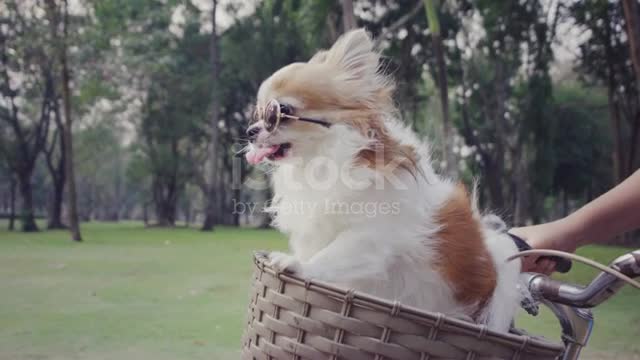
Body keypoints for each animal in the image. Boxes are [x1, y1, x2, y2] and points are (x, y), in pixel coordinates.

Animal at [244, 28, 520, 332]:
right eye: (258, 114)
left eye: (279, 112)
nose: (250, 130)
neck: (318, 163)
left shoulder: (371, 237)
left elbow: (330, 255)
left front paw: (298, 265)